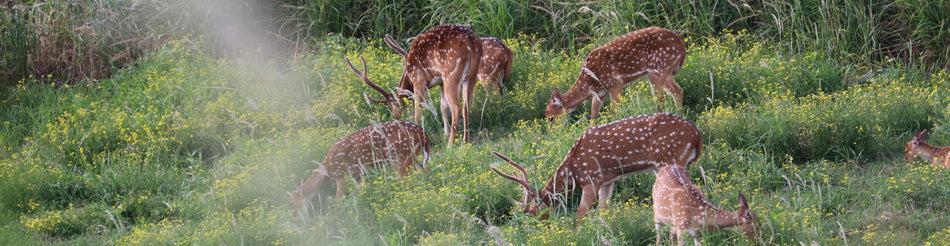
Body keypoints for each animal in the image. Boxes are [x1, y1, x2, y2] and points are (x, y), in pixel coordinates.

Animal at [292, 120, 434, 218]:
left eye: (294, 203)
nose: (295, 217)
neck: (326, 169)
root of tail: (423, 134)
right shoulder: (358, 175)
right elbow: (358, 193)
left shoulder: (342, 175)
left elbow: (338, 201)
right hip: (412, 157)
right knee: (424, 172)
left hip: (401, 157)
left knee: (409, 180)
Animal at [490, 112, 708, 218]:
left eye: (535, 212)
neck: (573, 170)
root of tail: (697, 135)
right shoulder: (608, 180)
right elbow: (603, 210)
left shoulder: (591, 178)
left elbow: (581, 214)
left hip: (670, 160)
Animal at [548, 26, 688, 119]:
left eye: (552, 118)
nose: (553, 133)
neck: (590, 81)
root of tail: (682, 46)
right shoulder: (599, 94)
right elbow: (593, 116)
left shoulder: (615, 84)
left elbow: (615, 112)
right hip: (663, 73)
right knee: (678, 91)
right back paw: (679, 115)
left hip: (658, 71)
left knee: (661, 100)